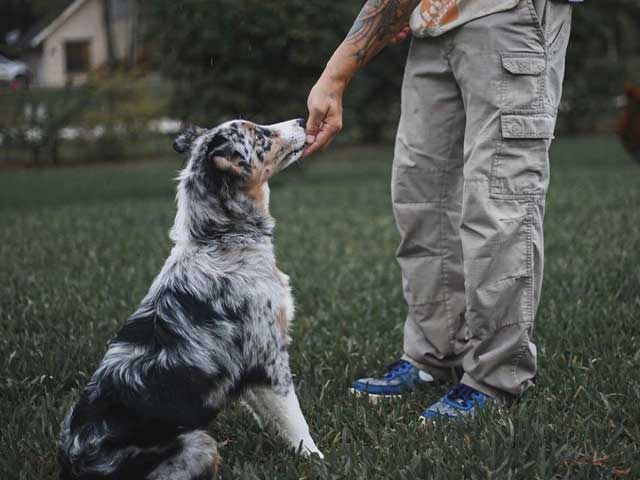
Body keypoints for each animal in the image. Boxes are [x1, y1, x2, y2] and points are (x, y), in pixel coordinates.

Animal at [57, 117, 322, 480]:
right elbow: (296, 421)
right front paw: (317, 459)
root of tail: (74, 463)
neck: (219, 239)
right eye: (260, 134)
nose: (301, 120)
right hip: (199, 442)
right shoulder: (269, 359)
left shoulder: (252, 376)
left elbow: (271, 418)